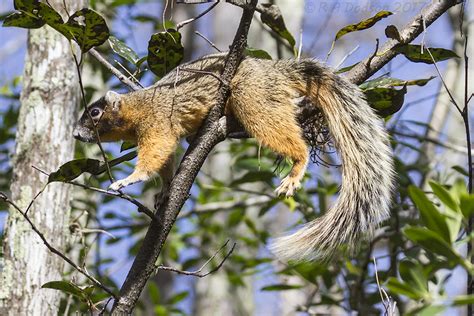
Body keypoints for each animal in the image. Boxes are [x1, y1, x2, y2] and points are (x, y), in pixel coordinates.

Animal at [72, 53, 394, 260]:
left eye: (95, 112)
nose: (75, 134)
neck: (136, 107)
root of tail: (274, 71)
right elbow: (166, 162)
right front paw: (164, 191)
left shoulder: (158, 122)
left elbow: (156, 153)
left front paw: (129, 179)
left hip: (252, 97)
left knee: (279, 131)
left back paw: (296, 167)